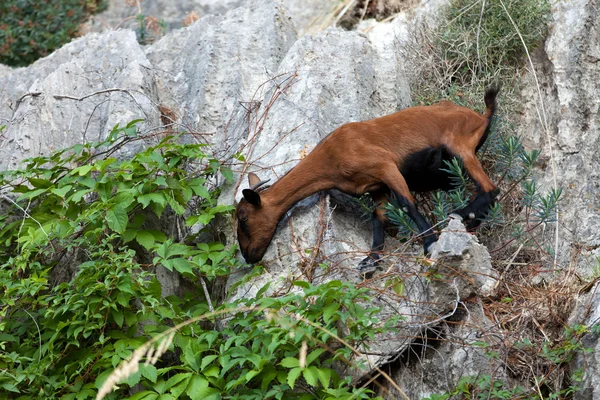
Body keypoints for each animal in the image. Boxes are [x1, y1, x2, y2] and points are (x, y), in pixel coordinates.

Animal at [237, 88, 500, 268]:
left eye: (243, 218)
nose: (248, 256)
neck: (331, 156)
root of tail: (481, 116)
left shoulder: (386, 166)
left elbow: (407, 205)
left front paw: (430, 243)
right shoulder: (376, 187)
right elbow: (377, 218)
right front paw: (370, 261)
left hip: (460, 147)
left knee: (490, 189)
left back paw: (463, 214)